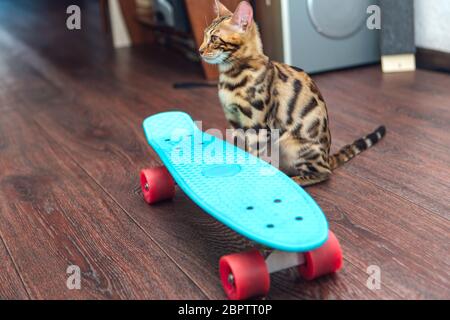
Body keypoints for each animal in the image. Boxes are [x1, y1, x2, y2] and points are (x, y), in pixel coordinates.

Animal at [199, 0, 384, 185]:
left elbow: (256, 156)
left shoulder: (257, 127)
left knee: (323, 173)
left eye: (214, 38)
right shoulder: (235, 123)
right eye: (204, 36)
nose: (200, 50)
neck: (231, 77)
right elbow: (241, 153)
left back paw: (295, 180)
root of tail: (327, 156)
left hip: (293, 145)